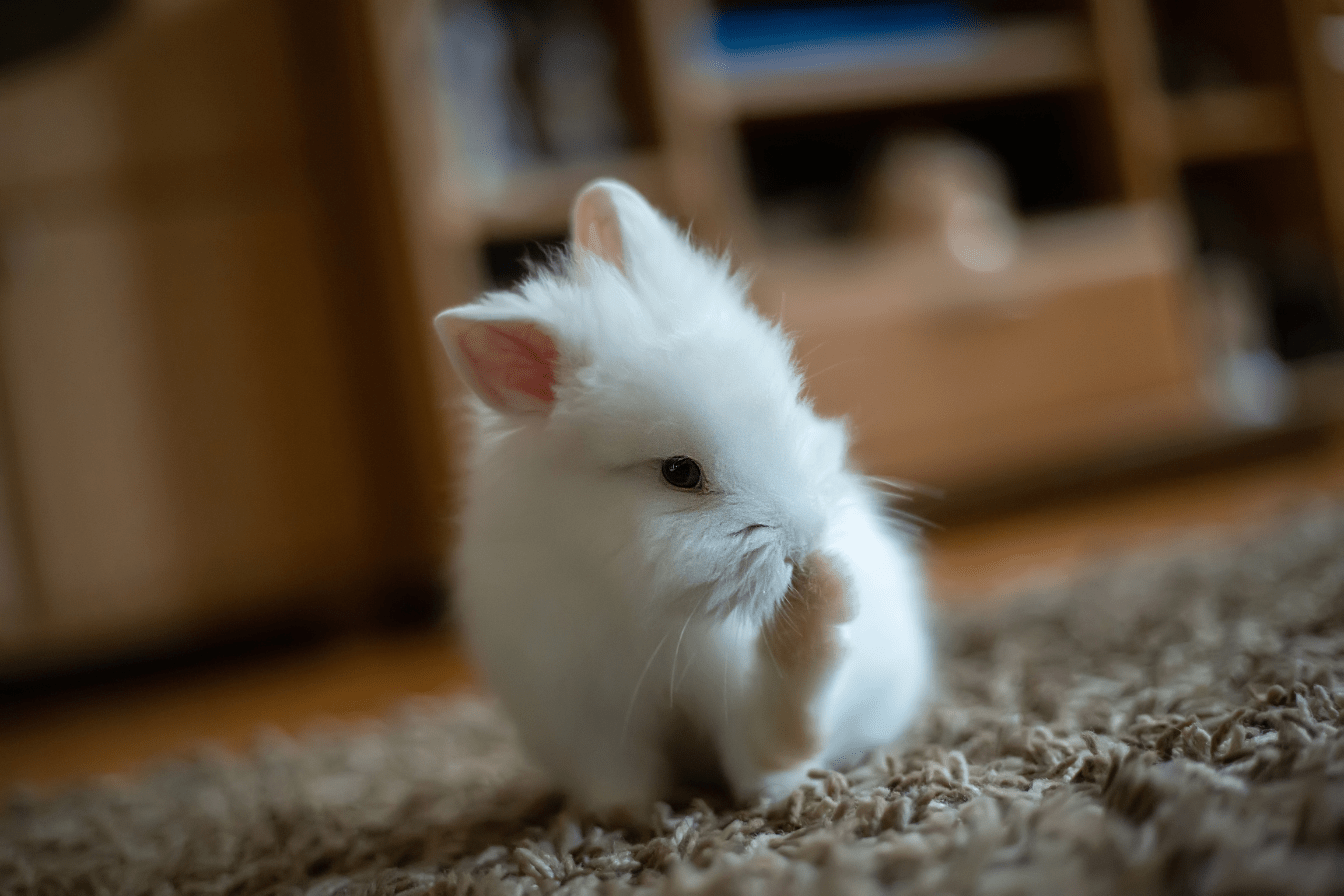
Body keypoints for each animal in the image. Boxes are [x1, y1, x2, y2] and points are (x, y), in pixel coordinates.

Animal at [433, 179, 931, 814]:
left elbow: (773, 750)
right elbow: (618, 781)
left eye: (785, 406)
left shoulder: (731, 693)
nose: (806, 544)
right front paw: (632, 819)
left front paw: (825, 604)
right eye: (679, 473)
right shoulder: (583, 718)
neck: (632, 594)